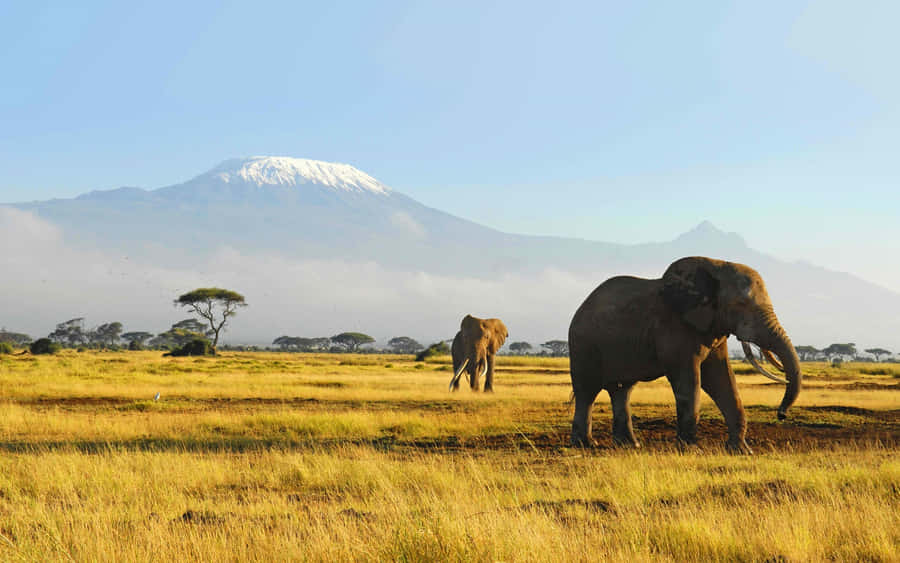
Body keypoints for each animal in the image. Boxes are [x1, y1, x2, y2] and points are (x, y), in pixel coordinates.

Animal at [568, 256, 801, 453]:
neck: (717, 267)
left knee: (622, 390)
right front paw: (691, 449)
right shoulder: (675, 328)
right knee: (587, 391)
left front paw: (741, 451)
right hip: (583, 345)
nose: (781, 415)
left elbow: (721, 378)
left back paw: (630, 445)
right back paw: (586, 444)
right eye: (740, 305)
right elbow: (689, 380)